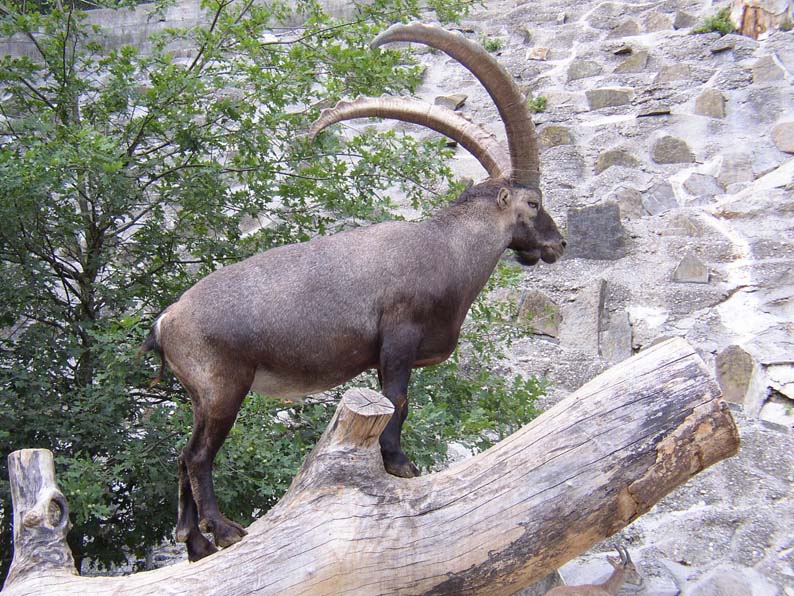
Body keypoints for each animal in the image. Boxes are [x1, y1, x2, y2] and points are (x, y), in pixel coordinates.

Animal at [140, 23, 566, 561]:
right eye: (532, 203)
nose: (558, 244)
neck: (446, 249)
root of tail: (166, 320)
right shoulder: (398, 338)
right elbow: (398, 399)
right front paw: (400, 464)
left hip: (199, 396)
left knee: (181, 457)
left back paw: (194, 542)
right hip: (223, 389)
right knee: (197, 457)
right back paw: (225, 530)